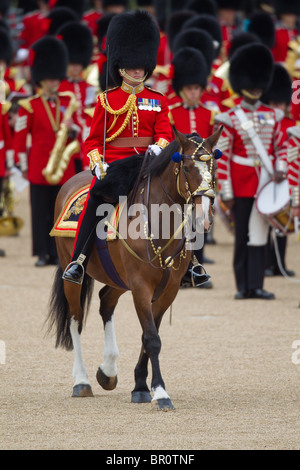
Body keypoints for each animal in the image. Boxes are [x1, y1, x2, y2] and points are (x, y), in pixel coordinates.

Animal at [46, 127, 220, 412]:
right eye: (186, 167)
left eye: (214, 168)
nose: (203, 218)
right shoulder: (140, 286)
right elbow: (152, 339)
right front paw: (160, 393)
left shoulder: (168, 289)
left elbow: (149, 336)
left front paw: (140, 386)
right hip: (71, 273)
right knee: (76, 319)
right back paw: (82, 381)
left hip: (117, 278)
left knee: (105, 302)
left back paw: (107, 371)